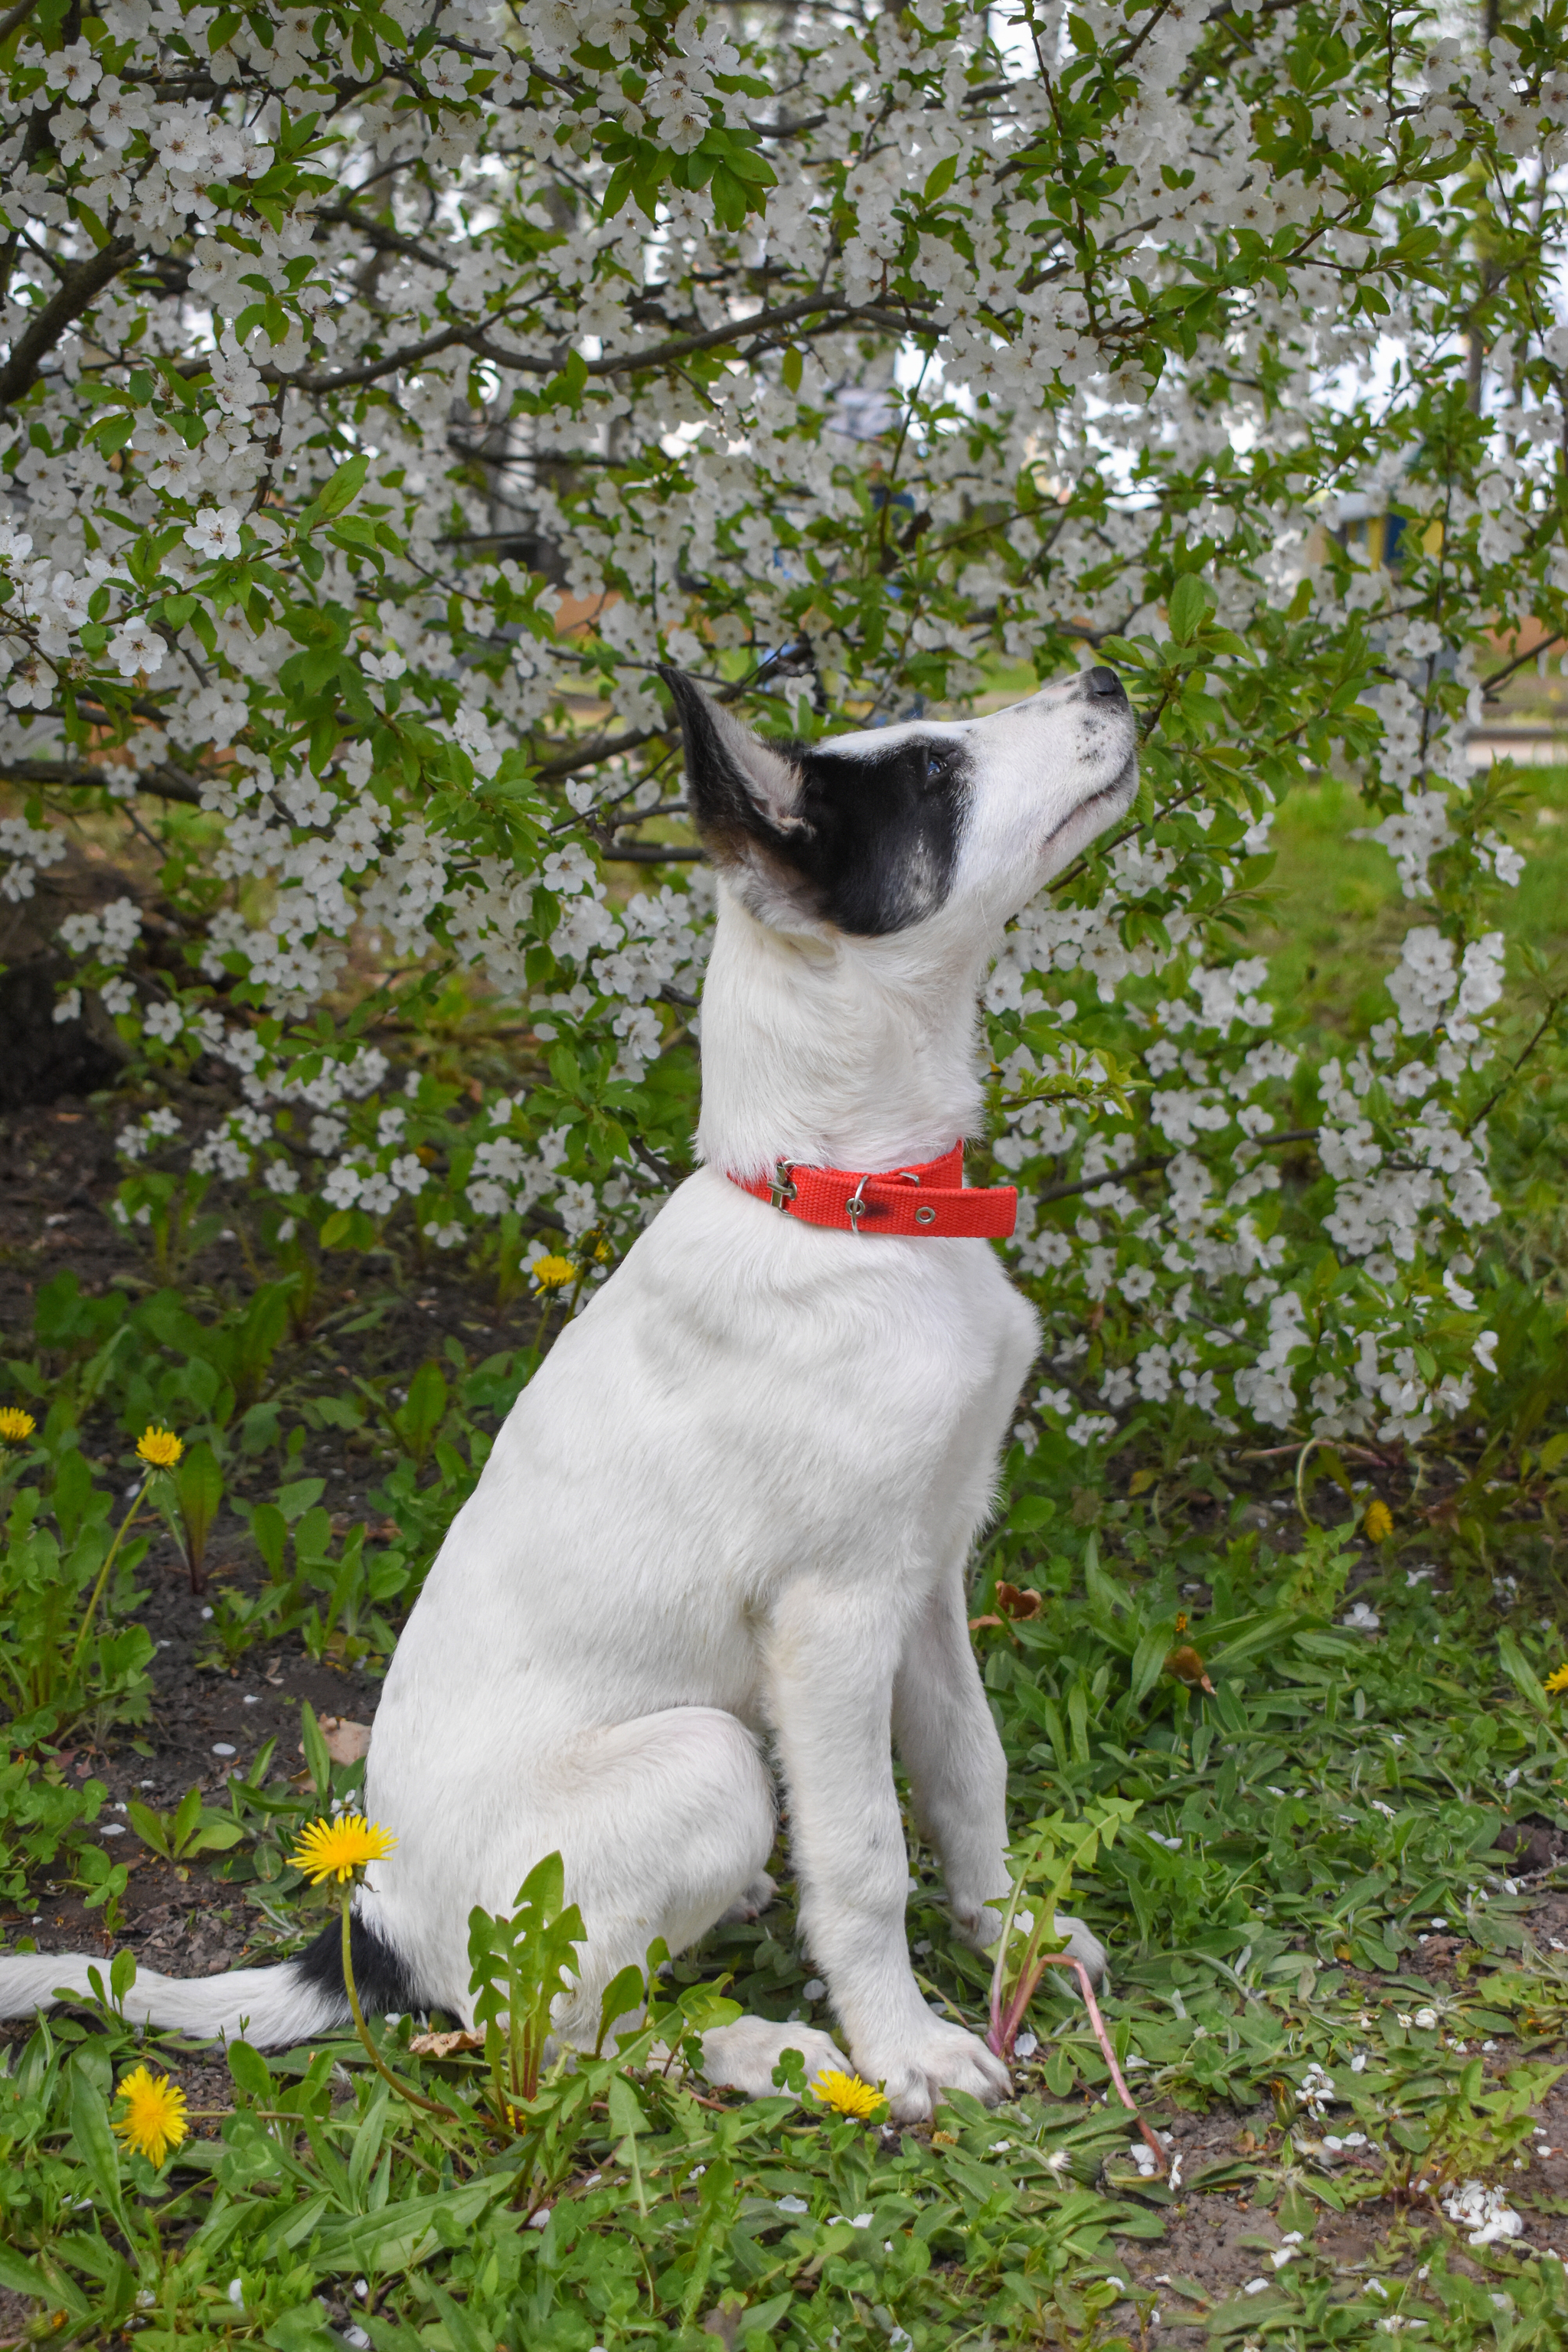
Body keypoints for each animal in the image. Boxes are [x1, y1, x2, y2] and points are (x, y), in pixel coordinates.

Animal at [0, 668, 1132, 2135]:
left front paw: (1010, 1937)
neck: (847, 1206)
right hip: (706, 1759)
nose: (1104, 678)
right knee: (550, 2041)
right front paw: (904, 2047)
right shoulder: (833, 1613)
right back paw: (763, 2050)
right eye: (935, 773)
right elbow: (867, 1853)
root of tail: (380, 1932)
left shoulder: (927, 1571)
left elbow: (968, 1774)